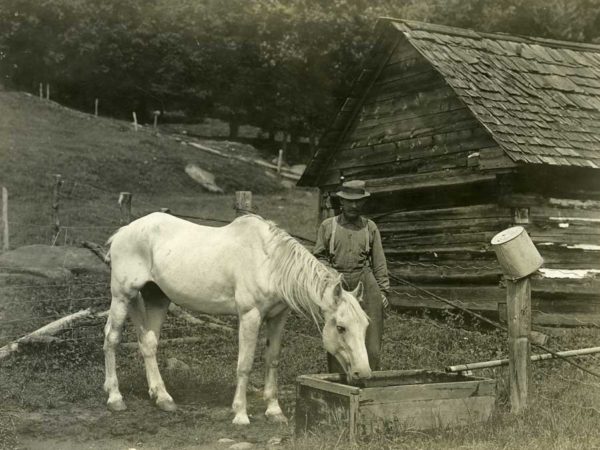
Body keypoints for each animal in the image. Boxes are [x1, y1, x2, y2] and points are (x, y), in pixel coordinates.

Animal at [103, 213, 370, 424]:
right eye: (341, 327)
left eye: (366, 325)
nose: (363, 374)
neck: (270, 262)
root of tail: (123, 232)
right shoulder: (250, 316)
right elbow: (245, 364)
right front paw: (240, 414)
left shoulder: (278, 317)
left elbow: (272, 360)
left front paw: (274, 411)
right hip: (122, 296)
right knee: (111, 339)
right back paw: (115, 397)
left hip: (157, 298)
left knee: (148, 343)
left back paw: (162, 397)